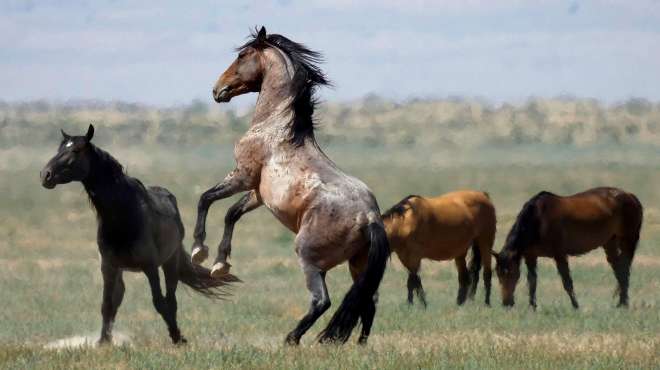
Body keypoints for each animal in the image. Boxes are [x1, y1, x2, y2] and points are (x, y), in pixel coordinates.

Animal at [38, 125, 235, 346]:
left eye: (76, 150)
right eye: (60, 148)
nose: (45, 175)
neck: (124, 215)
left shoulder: (150, 267)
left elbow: (160, 302)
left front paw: (177, 337)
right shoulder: (108, 267)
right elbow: (107, 304)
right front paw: (103, 342)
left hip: (170, 262)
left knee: (171, 299)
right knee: (119, 298)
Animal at [188, 27, 390, 346]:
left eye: (242, 55)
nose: (217, 90)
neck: (276, 126)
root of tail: (370, 218)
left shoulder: (242, 177)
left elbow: (205, 199)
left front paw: (199, 250)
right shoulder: (258, 194)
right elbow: (231, 214)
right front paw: (221, 264)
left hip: (309, 257)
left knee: (322, 301)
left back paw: (292, 339)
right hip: (358, 265)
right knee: (367, 301)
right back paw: (358, 345)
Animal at [498, 186, 640, 308]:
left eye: (511, 273)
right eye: (498, 275)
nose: (506, 303)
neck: (538, 219)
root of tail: (630, 196)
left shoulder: (559, 254)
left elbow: (567, 282)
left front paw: (575, 306)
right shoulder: (531, 256)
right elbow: (532, 282)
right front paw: (532, 307)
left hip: (628, 240)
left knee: (625, 270)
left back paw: (623, 304)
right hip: (610, 242)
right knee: (619, 270)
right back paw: (621, 303)